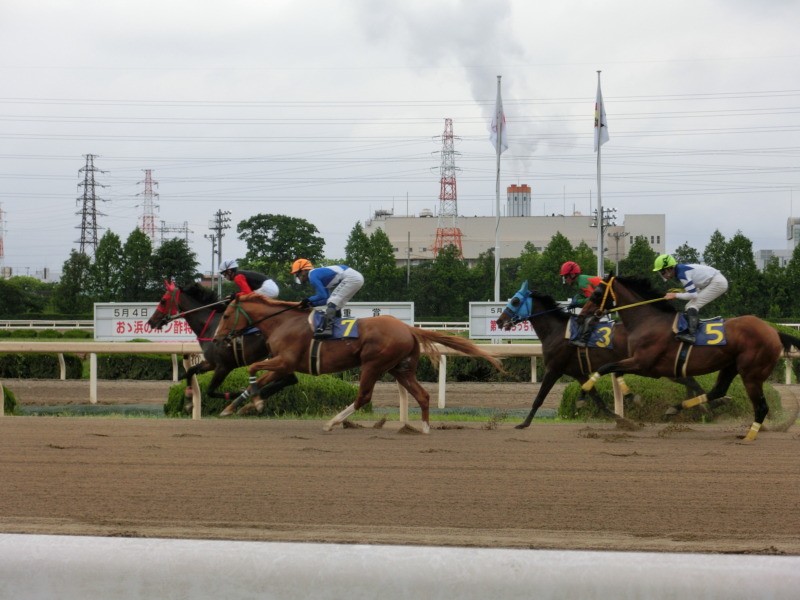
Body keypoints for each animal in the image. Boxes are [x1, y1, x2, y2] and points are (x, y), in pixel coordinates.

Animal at [211, 294, 500, 432]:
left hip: (373, 364)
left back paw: (331, 423)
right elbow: (258, 379)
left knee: (363, 397)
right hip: (400, 367)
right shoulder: (284, 364)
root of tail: (408, 328)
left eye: (224, 316)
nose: (216, 339)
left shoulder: (284, 361)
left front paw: (255, 403)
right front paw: (237, 406)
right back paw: (425, 429)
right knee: (422, 395)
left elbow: (252, 369)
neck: (283, 322)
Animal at [496, 280, 704, 426]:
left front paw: (523, 423)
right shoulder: (578, 373)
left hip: (652, 365)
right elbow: (598, 400)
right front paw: (623, 421)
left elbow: (539, 397)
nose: (499, 321)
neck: (556, 331)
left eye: (515, 300)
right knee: (689, 380)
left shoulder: (553, 369)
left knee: (690, 380)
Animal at [580, 276, 800, 440]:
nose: (582, 314)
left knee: (761, 407)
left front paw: (582, 395)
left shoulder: (644, 363)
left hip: (751, 374)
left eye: (597, 292)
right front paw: (632, 397)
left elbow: (605, 367)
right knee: (718, 391)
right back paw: (677, 408)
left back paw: (748, 437)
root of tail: (774, 331)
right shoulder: (643, 364)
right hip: (730, 365)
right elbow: (614, 370)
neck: (649, 321)